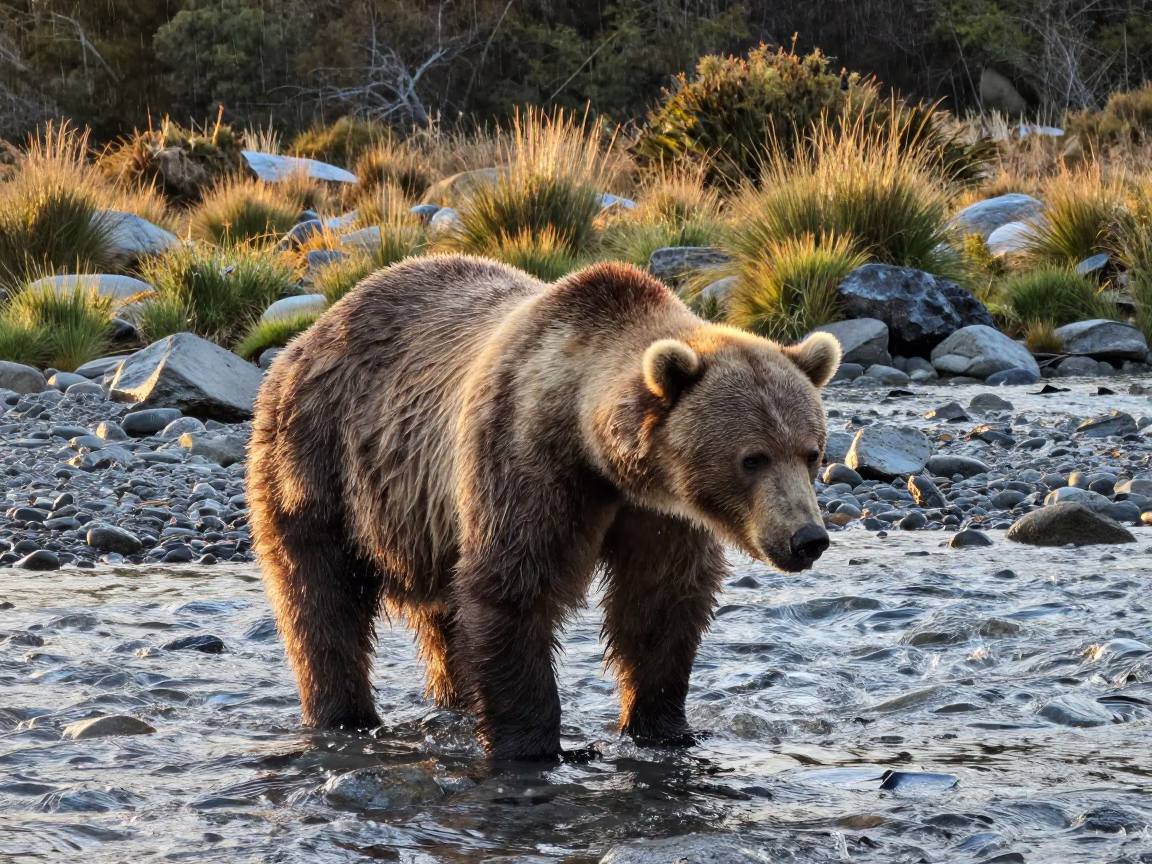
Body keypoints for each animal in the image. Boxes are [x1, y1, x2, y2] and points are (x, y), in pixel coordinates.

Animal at [247, 254, 840, 761]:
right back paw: (345, 715)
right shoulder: (527, 461)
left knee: (443, 616)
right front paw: (534, 745)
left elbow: (661, 603)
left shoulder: (661, 515)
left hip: (426, 518)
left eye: (812, 451)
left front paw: (664, 726)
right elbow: (513, 589)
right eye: (752, 458)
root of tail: (309, 333)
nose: (807, 538)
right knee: (321, 599)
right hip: (317, 459)